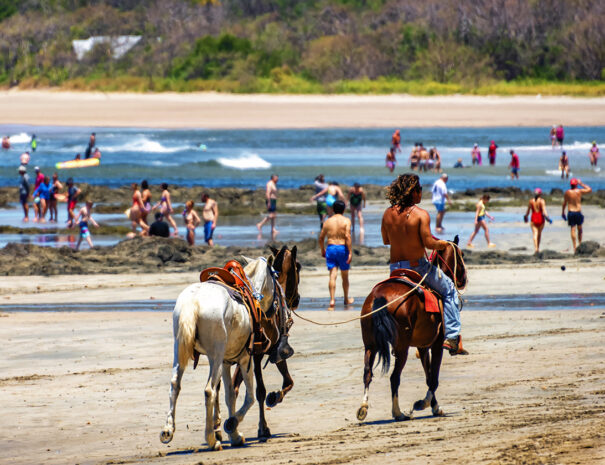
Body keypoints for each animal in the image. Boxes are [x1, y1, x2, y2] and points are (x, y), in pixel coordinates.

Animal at [162, 256, 280, 448]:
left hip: (180, 350)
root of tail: (193, 303)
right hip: (214, 356)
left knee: (175, 384)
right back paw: (211, 439)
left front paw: (235, 435)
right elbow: (249, 397)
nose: (275, 308)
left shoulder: (226, 362)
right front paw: (231, 424)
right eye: (276, 277)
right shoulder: (245, 359)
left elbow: (230, 395)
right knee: (209, 390)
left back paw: (168, 430)